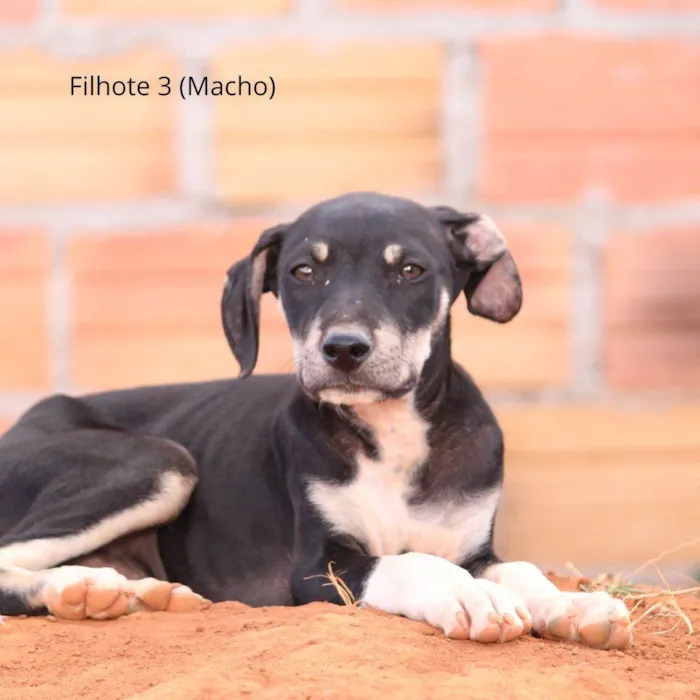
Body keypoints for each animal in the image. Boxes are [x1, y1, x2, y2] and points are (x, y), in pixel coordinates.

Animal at [0, 193, 632, 652]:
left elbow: (518, 567)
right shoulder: (318, 568)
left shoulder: (474, 546)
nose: (344, 348)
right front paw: (473, 599)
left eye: (410, 270)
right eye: (303, 272)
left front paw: (575, 606)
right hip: (161, 460)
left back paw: (136, 592)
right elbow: (411, 563)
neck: (393, 438)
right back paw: (80, 589)